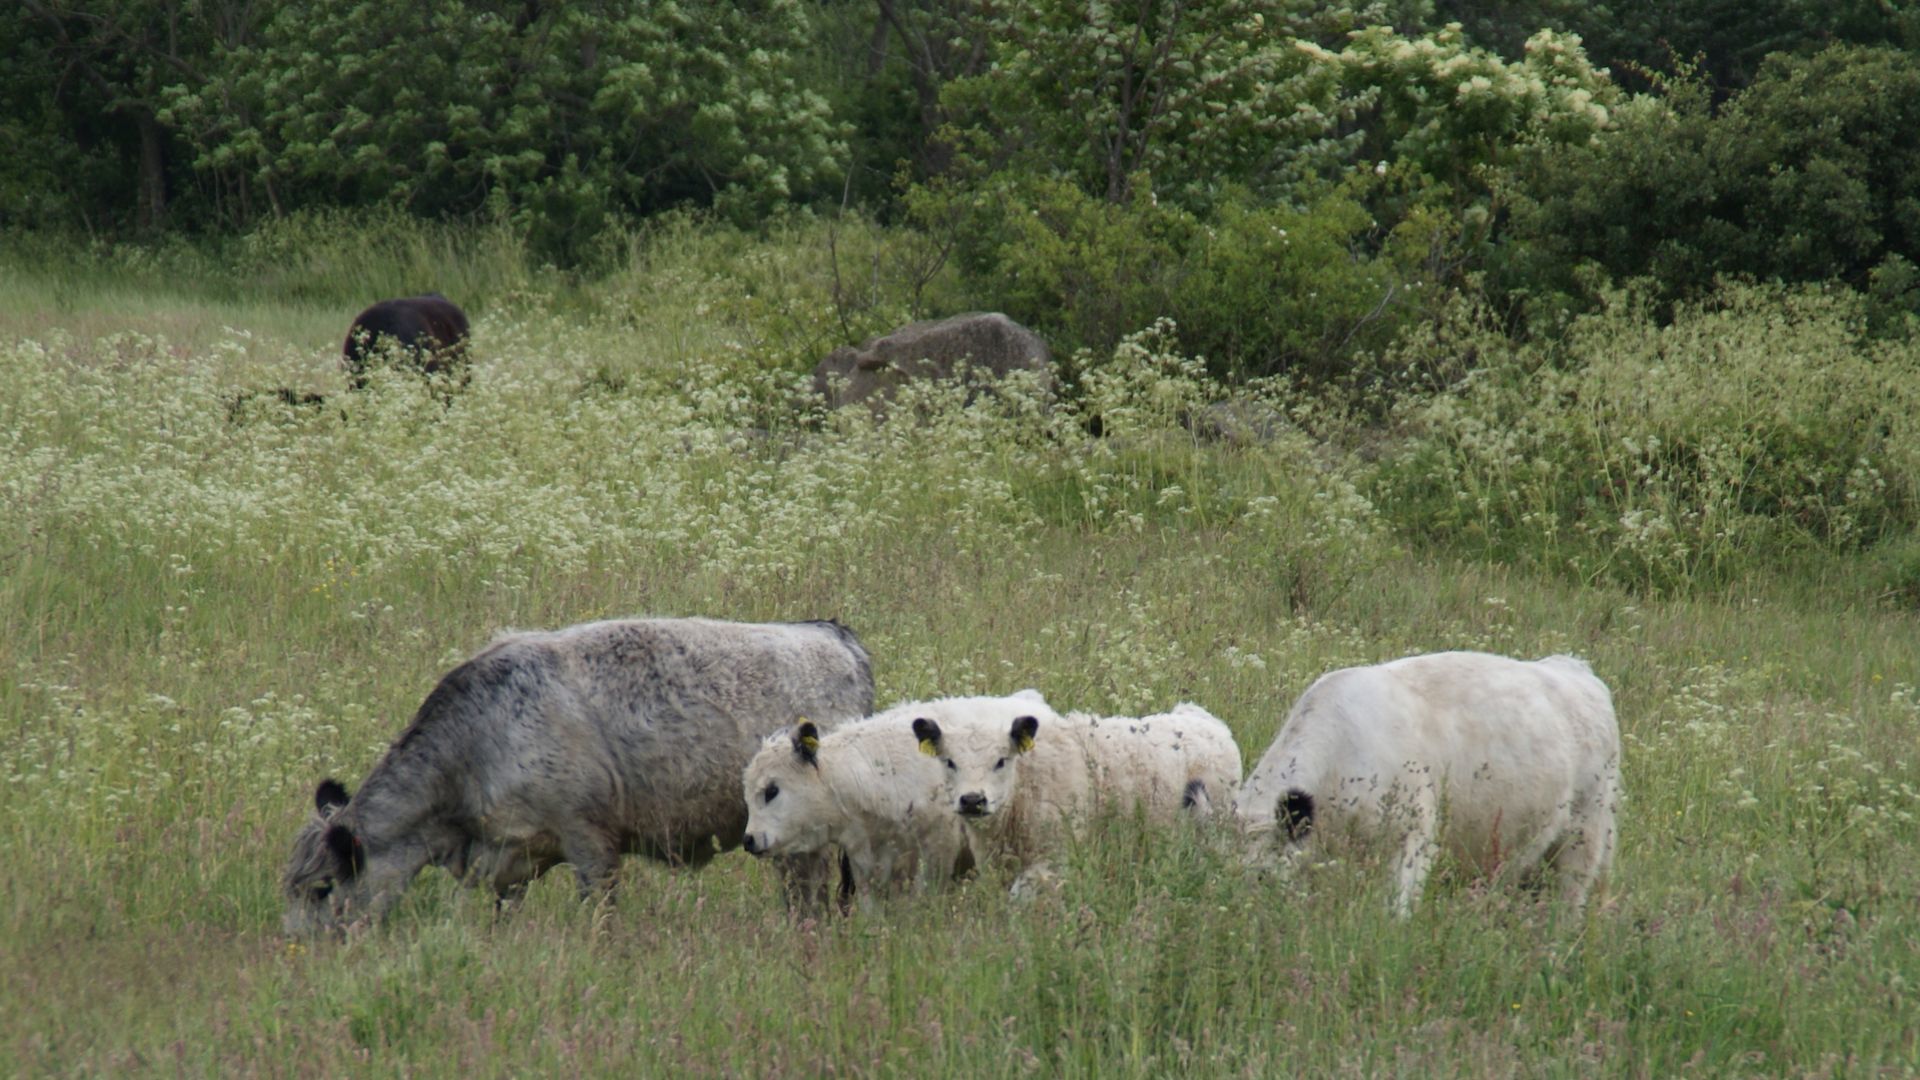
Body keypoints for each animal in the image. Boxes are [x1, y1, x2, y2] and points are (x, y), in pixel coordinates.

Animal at [280, 614, 875, 933]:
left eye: (322, 887)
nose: (299, 949)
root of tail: (835, 636)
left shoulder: (591, 843)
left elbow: (599, 915)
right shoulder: (510, 863)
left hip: (805, 847)